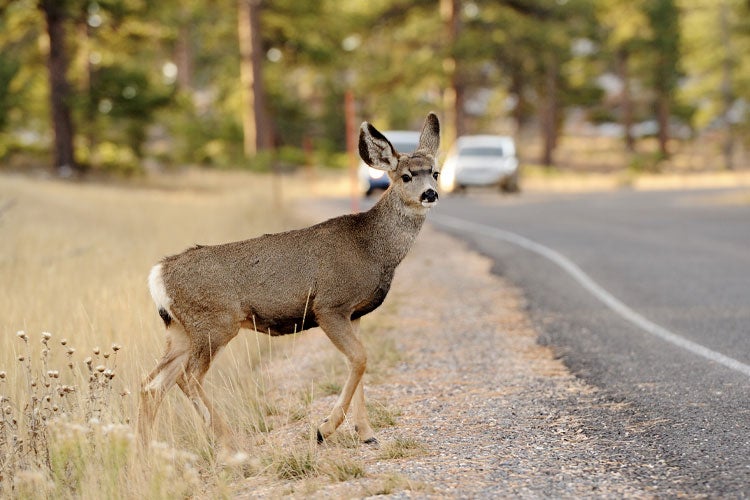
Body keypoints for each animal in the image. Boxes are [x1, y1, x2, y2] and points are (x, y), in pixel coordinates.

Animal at [138, 112, 441, 457]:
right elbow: (360, 359)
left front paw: (366, 433)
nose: (430, 193)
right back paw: (231, 443)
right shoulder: (330, 305)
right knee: (188, 378)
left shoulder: (355, 314)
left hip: (180, 331)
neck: (372, 248)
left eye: (435, 172)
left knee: (152, 384)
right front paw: (325, 429)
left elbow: (359, 363)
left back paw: (144, 455)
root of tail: (159, 274)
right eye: (405, 176)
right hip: (214, 323)